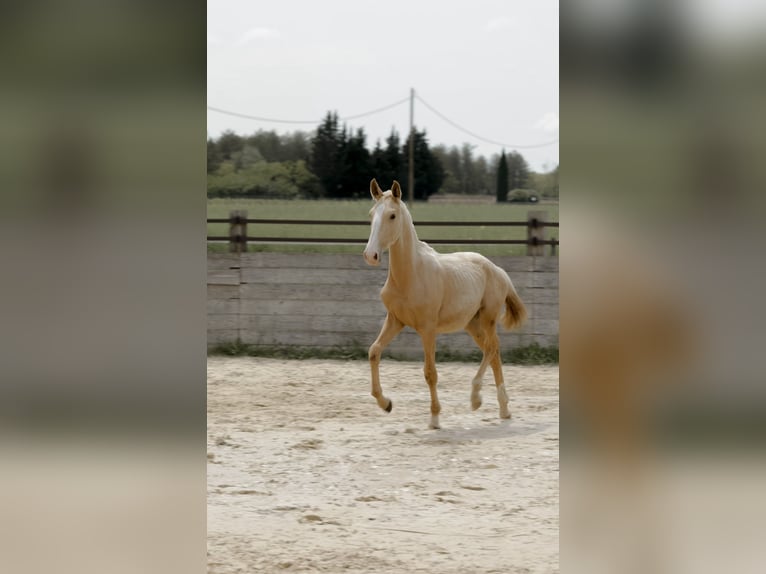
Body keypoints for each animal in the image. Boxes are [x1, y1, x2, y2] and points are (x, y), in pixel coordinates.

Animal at [363, 178, 527, 429]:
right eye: (372, 214)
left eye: (392, 215)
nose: (370, 255)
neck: (411, 275)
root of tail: (498, 270)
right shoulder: (395, 320)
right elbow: (374, 351)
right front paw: (386, 403)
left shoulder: (427, 329)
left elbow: (430, 372)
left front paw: (434, 418)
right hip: (472, 324)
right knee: (494, 353)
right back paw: (504, 409)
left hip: (488, 319)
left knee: (492, 348)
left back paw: (476, 399)